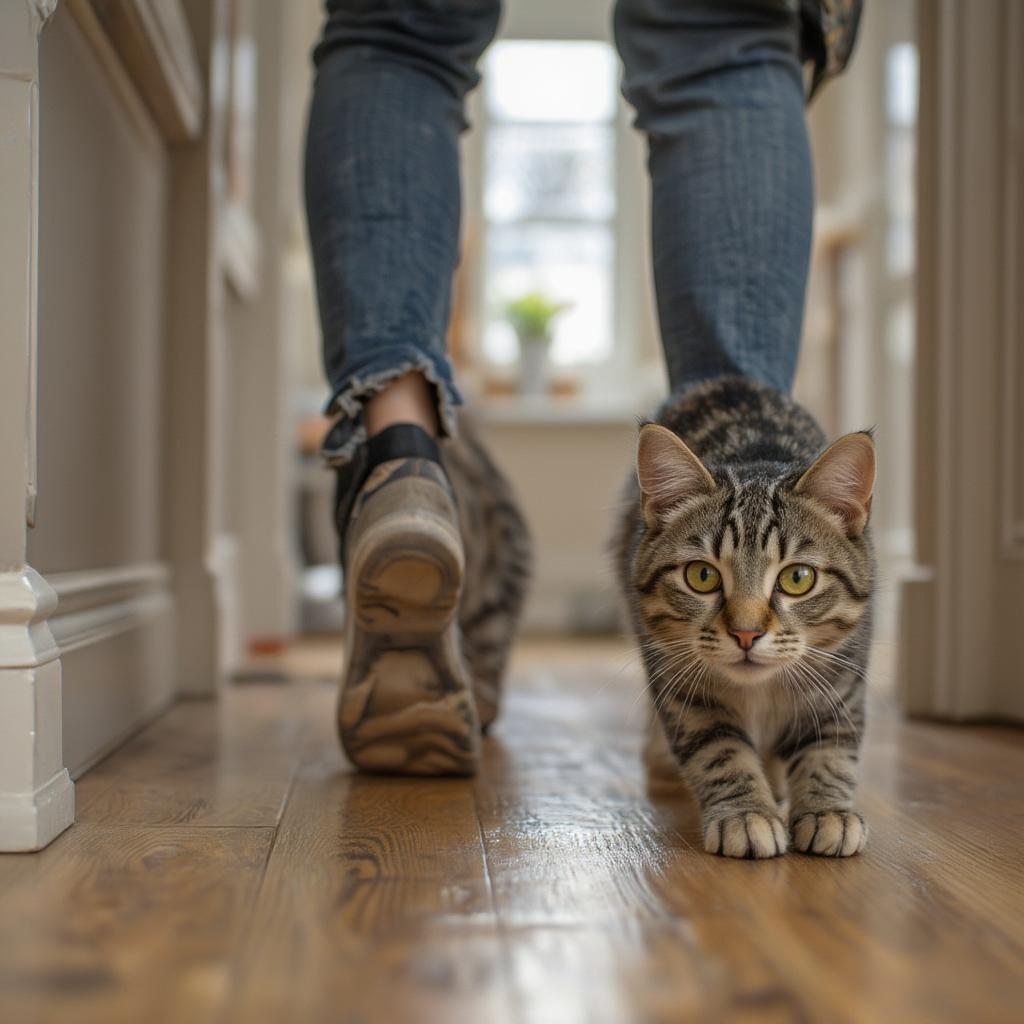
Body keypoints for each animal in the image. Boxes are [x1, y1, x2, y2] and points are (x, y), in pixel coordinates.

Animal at [610, 376, 876, 856]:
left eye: (797, 578)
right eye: (701, 576)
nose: (746, 633)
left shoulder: (842, 680)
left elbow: (830, 748)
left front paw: (826, 810)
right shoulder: (685, 692)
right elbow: (720, 751)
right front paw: (747, 813)